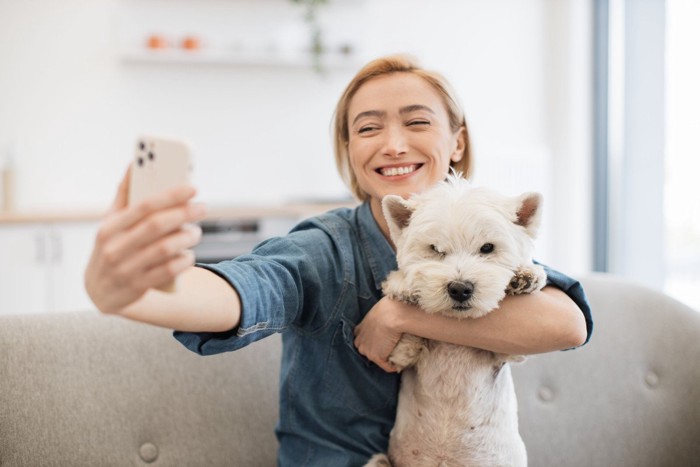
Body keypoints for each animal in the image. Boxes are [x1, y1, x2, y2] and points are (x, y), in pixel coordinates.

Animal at [364, 176, 548, 467]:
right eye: (435, 249)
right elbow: (403, 346)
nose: (460, 289)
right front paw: (405, 288)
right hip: (381, 461)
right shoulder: (394, 357)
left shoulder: (511, 352)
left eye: (487, 248)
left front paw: (527, 275)